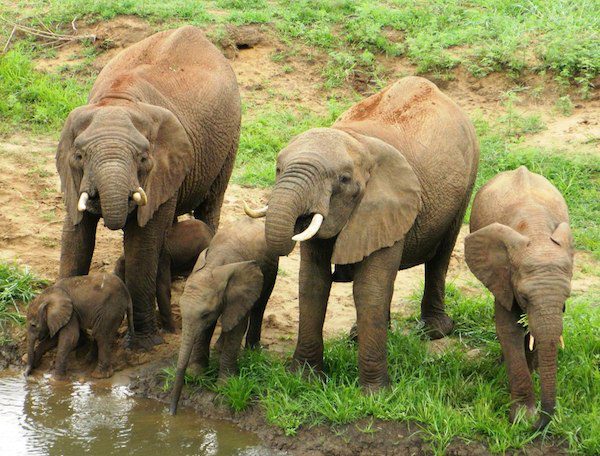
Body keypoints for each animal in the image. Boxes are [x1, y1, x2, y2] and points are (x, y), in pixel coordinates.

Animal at [55, 25, 240, 350]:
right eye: (79, 156)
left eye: (142, 158)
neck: (119, 99)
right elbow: (76, 236)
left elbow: (143, 242)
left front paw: (142, 345)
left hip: (229, 137)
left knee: (210, 203)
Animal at [171, 219, 278, 416]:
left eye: (205, 313)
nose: (172, 413)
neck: (215, 264)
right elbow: (207, 329)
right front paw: (196, 375)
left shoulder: (240, 291)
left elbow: (236, 327)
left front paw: (224, 386)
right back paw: (219, 347)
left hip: (272, 268)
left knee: (259, 306)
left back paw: (252, 351)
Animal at [244, 76, 478, 390]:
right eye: (278, 168)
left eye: (343, 180)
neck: (357, 141)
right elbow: (313, 282)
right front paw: (305, 380)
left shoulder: (388, 205)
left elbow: (369, 288)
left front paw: (376, 393)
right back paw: (359, 335)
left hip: (468, 180)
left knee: (440, 256)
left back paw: (435, 332)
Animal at [464, 167, 572, 432]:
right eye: (523, 296)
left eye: (566, 300)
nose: (538, 426)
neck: (537, 232)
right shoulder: (504, 275)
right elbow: (508, 328)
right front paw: (523, 419)